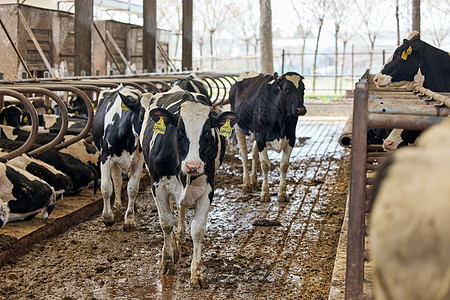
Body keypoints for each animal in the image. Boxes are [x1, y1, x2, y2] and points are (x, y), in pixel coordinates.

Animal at [92, 86, 145, 230]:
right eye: (141, 115)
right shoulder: (106, 157)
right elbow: (106, 187)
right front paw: (107, 218)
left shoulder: (139, 161)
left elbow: (132, 189)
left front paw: (129, 219)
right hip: (113, 161)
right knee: (116, 180)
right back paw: (116, 206)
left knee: (119, 180)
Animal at [141, 85, 239, 288]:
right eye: (179, 131)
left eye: (208, 132)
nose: (193, 165)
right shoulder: (158, 186)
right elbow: (166, 223)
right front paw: (167, 261)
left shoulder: (208, 190)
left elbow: (198, 230)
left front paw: (197, 273)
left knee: (181, 209)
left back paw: (180, 238)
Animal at [229, 71, 306, 202]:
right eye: (286, 89)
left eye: (303, 89)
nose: (300, 110)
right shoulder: (261, 136)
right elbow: (265, 164)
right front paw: (265, 193)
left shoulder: (291, 137)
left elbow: (284, 165)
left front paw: (282, 193)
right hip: (239, 127)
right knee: (244, 154)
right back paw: (246, 184)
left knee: (254, 152)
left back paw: (254, 180)